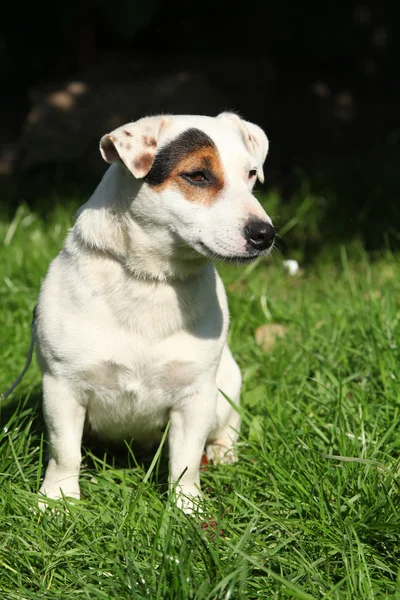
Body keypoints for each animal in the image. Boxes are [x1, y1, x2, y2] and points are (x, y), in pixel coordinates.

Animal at [35, 111, 276, 510]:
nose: (265, 234)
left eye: (252, 174)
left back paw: (223, 453)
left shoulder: (196, 396)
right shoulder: (62, 387)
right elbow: (65, 452)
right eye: (197, 175)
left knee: (227, 427)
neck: (153, 280)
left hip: (227, 384)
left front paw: (187, 508)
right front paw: (58, 500)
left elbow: (186, 461)